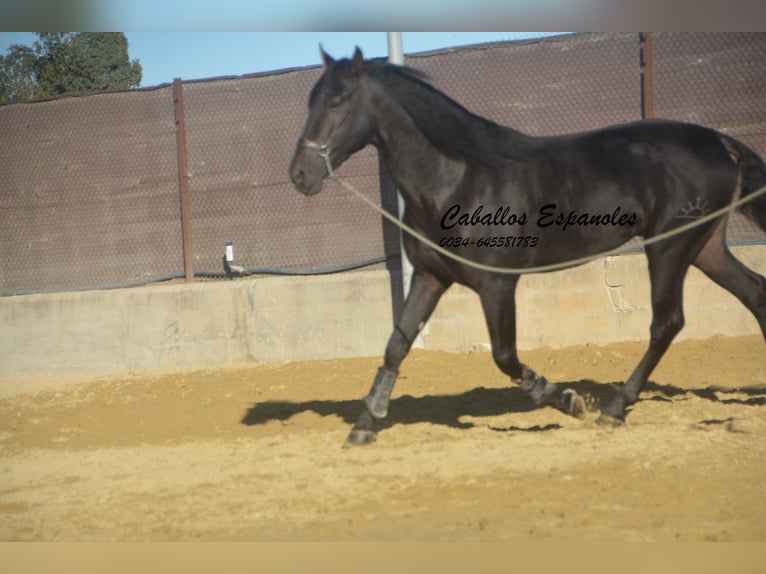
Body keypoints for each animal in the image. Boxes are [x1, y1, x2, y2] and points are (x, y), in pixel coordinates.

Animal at [290, 48, 766, 446]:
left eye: (337, 101)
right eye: (311, 101)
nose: (299, 174)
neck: (457, 180)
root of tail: (721, 142)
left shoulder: (497, 284)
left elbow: (505, 357)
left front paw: (570, 401)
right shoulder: (429, 277)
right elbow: (396, 345)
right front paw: (363, 426)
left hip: (669, 248)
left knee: (666, 323)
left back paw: (614, 408)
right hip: (705, 247)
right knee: (755, 293)